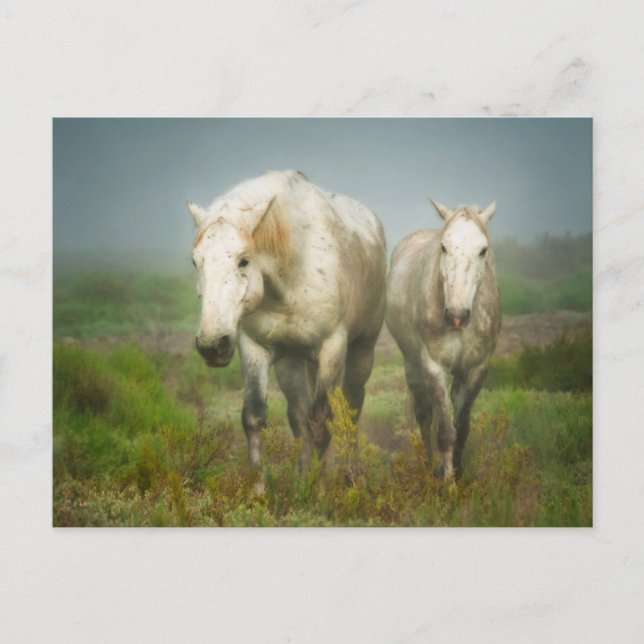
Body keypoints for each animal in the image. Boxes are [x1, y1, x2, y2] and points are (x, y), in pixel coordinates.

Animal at [187, 170, 387, 476]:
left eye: (244, 261)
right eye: (196, 262)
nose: (212, 345)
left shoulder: (332, 348)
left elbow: (323, 422)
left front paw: (320, 487)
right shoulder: (254, 348)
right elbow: (255, 418)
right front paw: (268, 487)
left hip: (363, 348)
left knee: (352, 407)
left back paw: (352, 475)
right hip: (291, 363)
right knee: (299, 416)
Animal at [385, 200, 501, 480]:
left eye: (483, 250)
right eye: (444, 247)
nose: (457, 316)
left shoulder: (477, 369)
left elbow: (461, 428)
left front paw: (457, 472)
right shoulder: (434, 366)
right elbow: (446, 432)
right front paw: (448, 483)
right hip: (413, 365)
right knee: (424, 415)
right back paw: (429, 467)